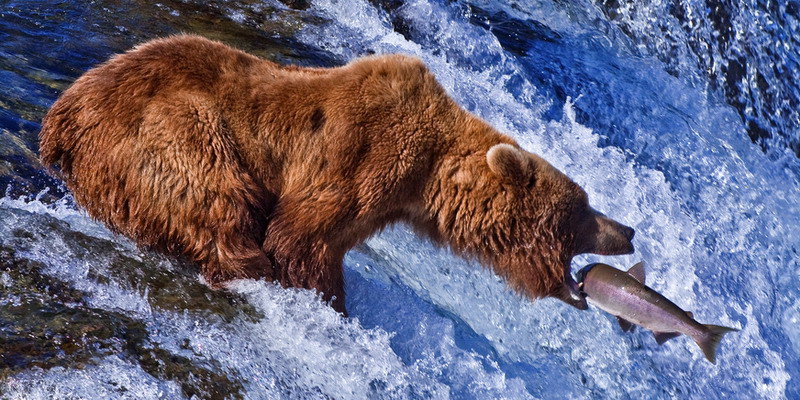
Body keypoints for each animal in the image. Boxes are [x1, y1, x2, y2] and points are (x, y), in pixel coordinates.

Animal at [40, 35, 636, 312]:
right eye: (582, 208)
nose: (628, 229)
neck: (425, 180)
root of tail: (59, 118)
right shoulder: (361, 157)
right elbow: (301, 239)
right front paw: (326, 301)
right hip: (169, 130)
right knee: (216, 200)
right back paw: (243, 263)